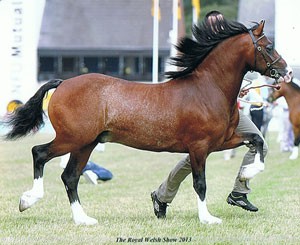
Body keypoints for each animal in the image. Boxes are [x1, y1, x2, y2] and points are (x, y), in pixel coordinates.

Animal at [2, 15, 292, 225]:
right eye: (268, 46)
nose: (287, 72)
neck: (208, 89)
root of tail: (63, 83)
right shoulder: (199, 147)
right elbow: (200, 183)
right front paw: (208, 218)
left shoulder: (222, 141)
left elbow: (256, 141)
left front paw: (247, 174)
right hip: (72, 139)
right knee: (39, 154)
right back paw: (28, 200)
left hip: (86, 144)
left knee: (70, 177)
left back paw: (83, 219)